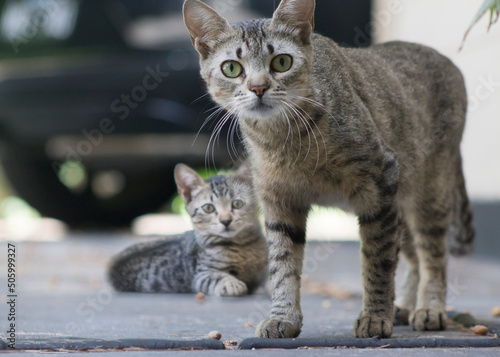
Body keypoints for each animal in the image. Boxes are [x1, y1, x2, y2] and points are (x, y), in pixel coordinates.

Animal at [108, 163, 268, 294]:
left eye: (237, 204)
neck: (244, 246)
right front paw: (232, 284)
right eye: (208, 208)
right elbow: (216, 277)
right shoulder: (201, 275)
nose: (226, 221)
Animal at [185, 0, 476, 338]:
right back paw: (404, 305)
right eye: (231, 68)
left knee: (433, 255)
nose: (258, 87)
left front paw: (375, 316)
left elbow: (378, 261)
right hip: (402, 207)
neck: (284, 142)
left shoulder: (381, 182)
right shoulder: (278, 201)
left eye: (282, 62)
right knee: (414, 257)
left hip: (428, 195)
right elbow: (282, 265)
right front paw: (283, 316)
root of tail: (449, 61)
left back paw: (429, 308)